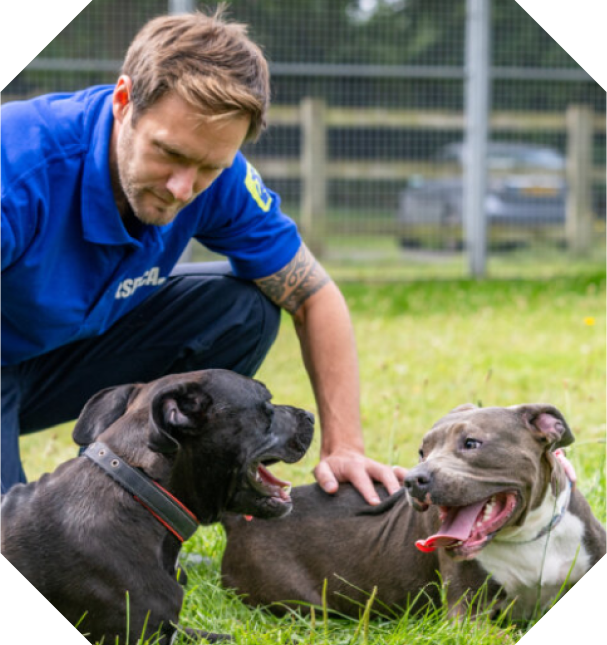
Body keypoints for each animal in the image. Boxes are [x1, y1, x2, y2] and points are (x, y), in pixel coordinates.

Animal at [222, 406, 607, 620]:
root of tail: (238, 520)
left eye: (472, 443)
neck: (528, 537)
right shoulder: (467, 615)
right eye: (423, 451)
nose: (411, 480)